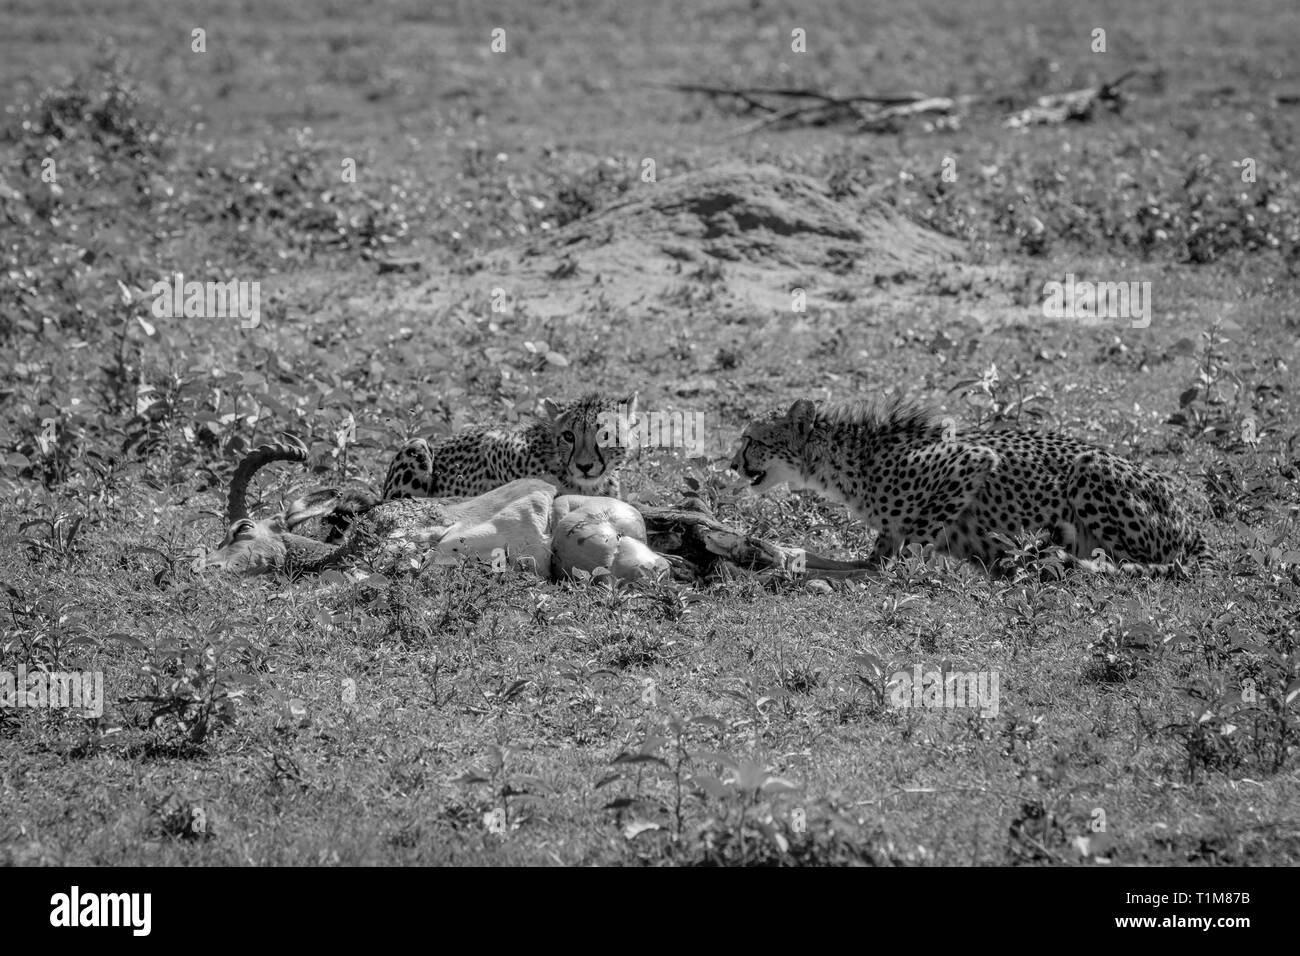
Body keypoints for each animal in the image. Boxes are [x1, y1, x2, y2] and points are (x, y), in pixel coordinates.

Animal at [733, 395, 1206, 574]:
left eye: (751, 439)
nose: (733, 463)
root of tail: (1190, 519)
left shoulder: (971, 460)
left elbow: (915, 538)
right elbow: (854, 560)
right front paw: (781, 556)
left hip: (1088, 468)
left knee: (1134, 563)